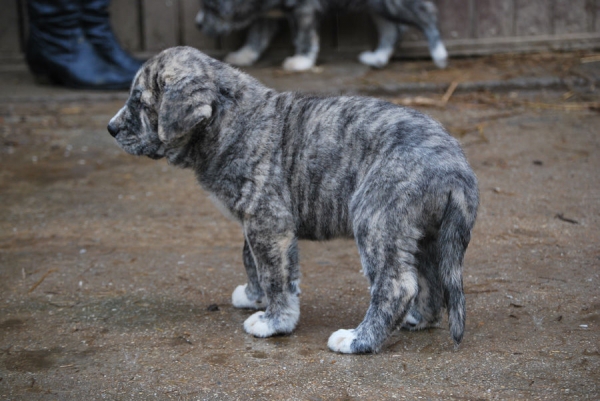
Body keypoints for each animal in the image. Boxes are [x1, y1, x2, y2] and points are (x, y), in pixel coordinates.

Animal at [105, 47, 476, 354]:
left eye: (140, 103)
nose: (110, 129)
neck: (229, 120)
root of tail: (455, 166)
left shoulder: (268, 220)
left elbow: (274, 273)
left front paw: (274, 322)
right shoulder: (256, 220)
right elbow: (251, 258)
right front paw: (254, 297)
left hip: (376, 218)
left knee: (397, 285)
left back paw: (358, 340)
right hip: (423, 232)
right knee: (430, 278)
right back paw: (417, 319)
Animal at [196, 0, 446, 71]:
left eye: (211, 7)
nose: (197, 24)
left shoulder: (304, 9)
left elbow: (304, 37)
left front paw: (302, 61)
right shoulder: (266, 13)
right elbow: (256, 36)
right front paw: (243, 56)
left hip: (395, 3)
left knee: (426, 15)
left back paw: (439, 54)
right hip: (379, 6)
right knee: (391, 29)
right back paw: (378, 58)